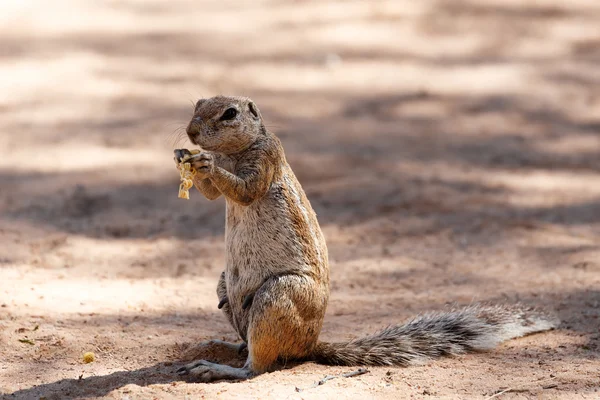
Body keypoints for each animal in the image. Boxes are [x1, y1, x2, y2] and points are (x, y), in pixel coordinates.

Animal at [173, 95, 556, 382]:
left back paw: (216, 366)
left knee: (259, 366)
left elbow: (246, 190)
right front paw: (184, 158)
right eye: (198, 103)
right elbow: (212, 194)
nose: (191, 132)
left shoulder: (266, 158)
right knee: (245, 337)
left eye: (230, 113)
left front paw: (204, 162)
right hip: (227, 283)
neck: (234, 151)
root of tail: (309, 346)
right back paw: (221, 344)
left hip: (279, 294)